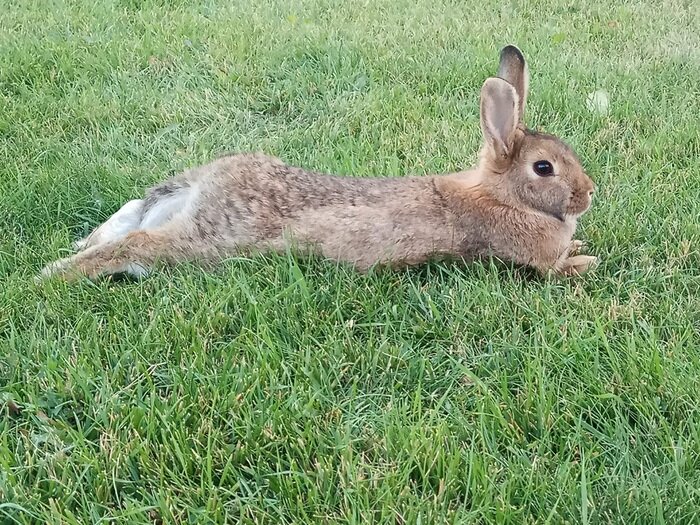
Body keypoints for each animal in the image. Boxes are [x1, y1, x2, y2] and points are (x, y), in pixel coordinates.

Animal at [38, 45, 596, 282]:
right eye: (544, 168)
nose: (590, 194)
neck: (501, 194)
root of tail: (208, 185)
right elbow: (552, 270)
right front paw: (583, 262)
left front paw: (581, 245)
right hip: (207, 240)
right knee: (139, 246)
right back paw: (52, 276)